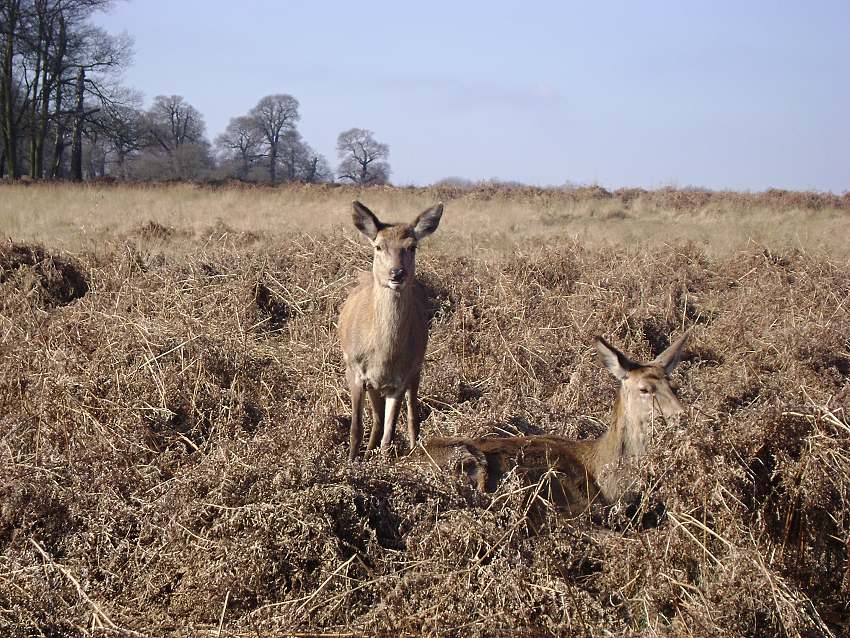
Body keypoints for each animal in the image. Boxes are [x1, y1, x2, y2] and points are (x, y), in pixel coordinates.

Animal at [338, 200, 444, 460]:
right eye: (378, 246)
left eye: (412, 246)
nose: (396, 273)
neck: (383, 356)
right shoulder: (353, 368)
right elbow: (356, 428)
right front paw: (351, 461)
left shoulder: (401, 378)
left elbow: (390, 433)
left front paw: (383, 461)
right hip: (374, 384)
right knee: (376, 418)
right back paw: (368, 453)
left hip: (417, 366)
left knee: (412, 414)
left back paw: (414, 449)